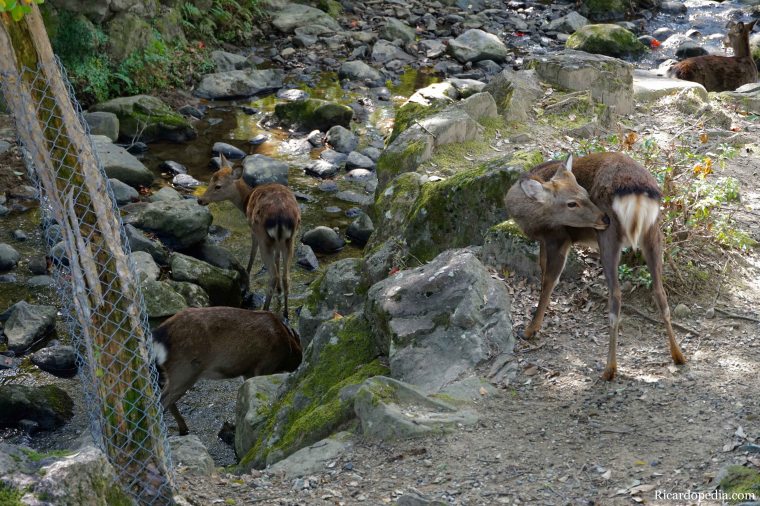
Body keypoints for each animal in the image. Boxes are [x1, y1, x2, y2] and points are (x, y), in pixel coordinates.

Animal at [152, 306, 302, 435]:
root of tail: (159, 334)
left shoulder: (248, 370)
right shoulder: (266, 364)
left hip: (173, 372)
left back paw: (183, 429)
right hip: (185, 369)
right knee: (162, 401)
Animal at [198, 155, 301, 317]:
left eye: (218, 186)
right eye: (210, 180)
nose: (200, 200)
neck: (245, 201)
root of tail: (281, 217)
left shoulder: (253, 231)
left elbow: (252, 255)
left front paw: (246, 285)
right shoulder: (278, 243)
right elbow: (277, 258)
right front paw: (278, 290)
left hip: (264, 235)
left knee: (273, 275)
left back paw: (265, 309)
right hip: (290, 239)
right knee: (286, 276)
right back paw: (285, 313)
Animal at [504, 152, 686, 381]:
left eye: (585, 193)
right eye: (572, 202)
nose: (603, 217)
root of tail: (638, 193)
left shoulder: (558, 237)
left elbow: (549, 280)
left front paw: (530, 330)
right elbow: (542, 268)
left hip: (608, 238)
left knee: (616, 295)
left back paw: (609, 369)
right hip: (653, 233)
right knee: (660, 292)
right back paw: (678, 356)